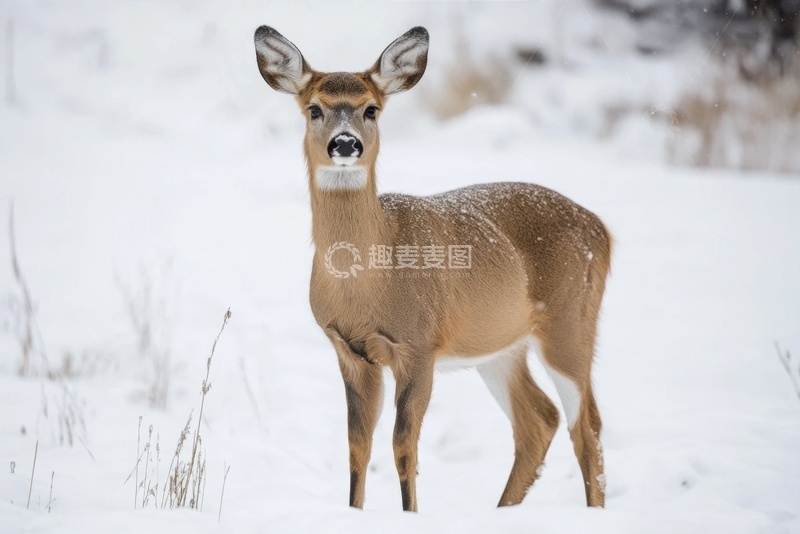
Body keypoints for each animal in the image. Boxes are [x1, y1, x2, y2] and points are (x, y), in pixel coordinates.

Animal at [253, 25, 612, 512]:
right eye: (314, 109)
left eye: (371, 109)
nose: (345, 143)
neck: (368, 282)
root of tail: (602, 229)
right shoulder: (348, 349)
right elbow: (357, 446)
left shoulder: (419, 345)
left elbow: (404, 446)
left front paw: (410, 514)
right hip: (499, 346)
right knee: (540, 419)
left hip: (570, 321)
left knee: (587, 425)